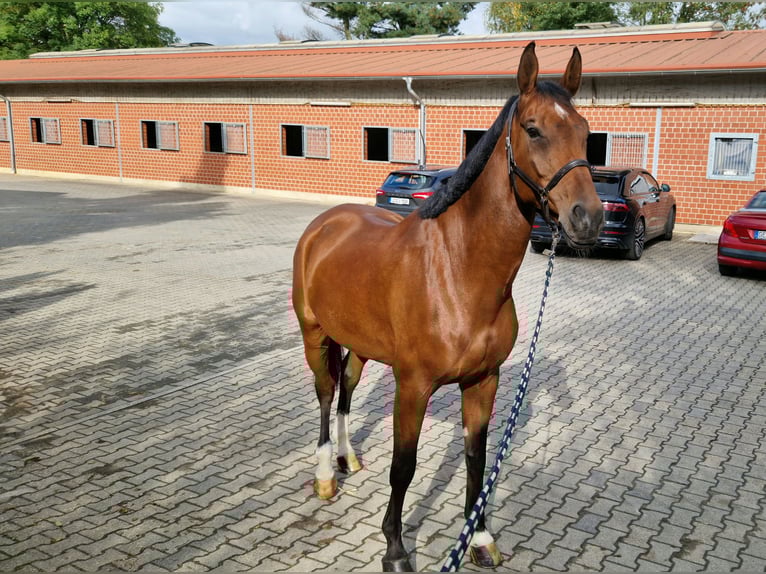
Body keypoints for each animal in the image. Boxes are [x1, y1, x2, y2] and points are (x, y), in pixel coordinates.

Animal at [292, 41, 604, 572]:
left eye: (585, 133)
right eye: (533, 128)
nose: (589, 218)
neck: (458, 274)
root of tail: (325, 224)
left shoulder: (483, 381)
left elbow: (476, 459)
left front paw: (479, 537)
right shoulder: (413, 385)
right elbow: (404, 466)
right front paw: (395, 549)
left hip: (360, 343)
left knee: (347, 388)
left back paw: (347, 458)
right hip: (315, 335)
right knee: (325, 392)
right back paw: (325, 475)